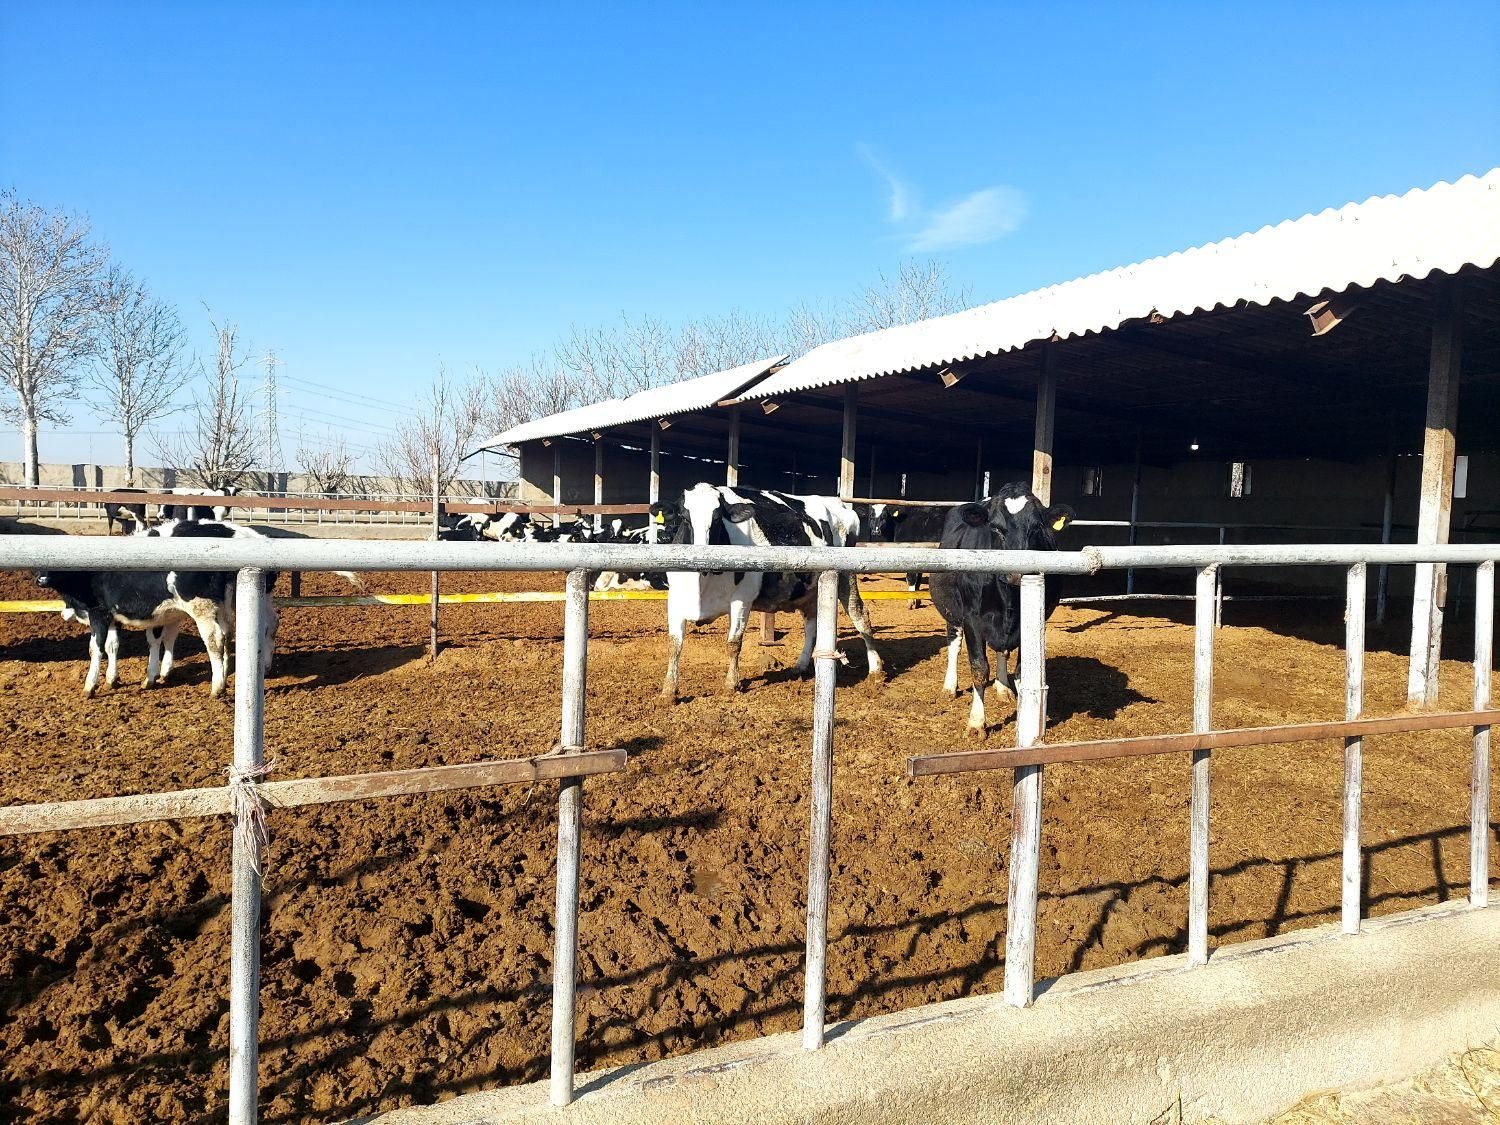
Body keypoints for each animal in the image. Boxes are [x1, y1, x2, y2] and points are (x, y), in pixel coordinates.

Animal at [654, 486, 882, 705]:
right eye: (684, 517)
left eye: (717, 518)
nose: (703, 555)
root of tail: (838, 503)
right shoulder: (675, 599)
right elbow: (674, 645)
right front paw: (668, 692)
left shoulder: (742, 599)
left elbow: (733, 643)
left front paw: (731, 684)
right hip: (811, 589)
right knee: (811, 625)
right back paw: (800, 665)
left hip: (845, 575)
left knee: (860, 615)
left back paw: (876, 670)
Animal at [930, 486, 1074, 741]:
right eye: (995, 528)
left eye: (1036, 527)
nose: (1016, 572)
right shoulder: (972, 619)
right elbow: (979, 669)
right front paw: (976, 723)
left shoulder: (1038, 618)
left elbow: (1021, 671)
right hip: (952, 614)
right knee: (954, 645)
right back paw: (949, 686)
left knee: (1002, 652)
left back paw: (1002, 688)